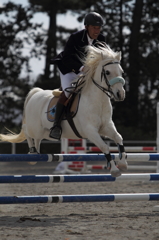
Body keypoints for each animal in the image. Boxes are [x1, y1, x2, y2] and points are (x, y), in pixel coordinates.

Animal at [0, 45, 126, 176]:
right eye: (107, 72)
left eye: (121, 72)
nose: (120, 94)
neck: (98, 101)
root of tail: (36, 93)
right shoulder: (90, 131)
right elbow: (105, 147)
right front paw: (115, 170)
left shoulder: (106, 127)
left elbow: (118, 138)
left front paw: (123, 164)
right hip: (35, 127)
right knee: (26, 130)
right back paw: (32, 152)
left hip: (45, 132)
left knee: (37, 139)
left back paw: (35, 153)